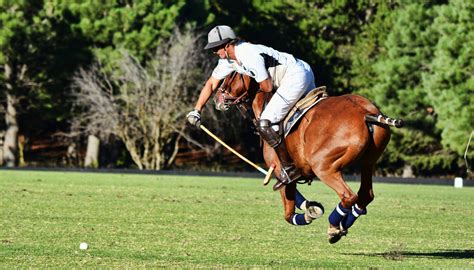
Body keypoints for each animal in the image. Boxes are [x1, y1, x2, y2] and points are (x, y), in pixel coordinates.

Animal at [215, 71, 404, 243]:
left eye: (231, 74)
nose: (217, 98)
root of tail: (365, 113)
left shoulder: (281, 172)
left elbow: (288, 213)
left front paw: (310, 213)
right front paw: (312, 208)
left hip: (323, 166)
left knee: (348, 196)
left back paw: (334, 228)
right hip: (368, 162)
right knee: (365, 195)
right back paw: (343, 225)